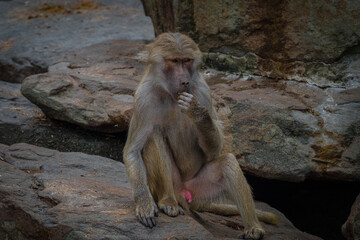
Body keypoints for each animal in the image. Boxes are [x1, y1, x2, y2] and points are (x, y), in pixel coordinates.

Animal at [123, 32, 278, 240]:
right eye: (174, 61)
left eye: (187, 60)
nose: (184, 81)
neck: (171, 95)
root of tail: (185, 194)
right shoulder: (143, 98)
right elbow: (132, 151)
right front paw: (144, 205)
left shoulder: (203, 91)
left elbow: (215, 149)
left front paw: (197, 112)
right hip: (172, 185)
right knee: (154, 135)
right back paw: (167, 201)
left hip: (200, 189)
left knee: (227, 162)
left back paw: (254, 228)